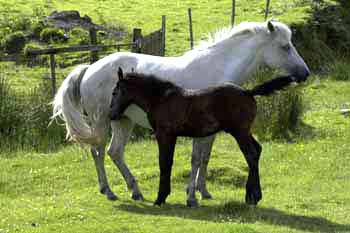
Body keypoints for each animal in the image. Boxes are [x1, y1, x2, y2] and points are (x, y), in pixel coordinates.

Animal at [52, 20, 308, 205]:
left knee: (114, 152)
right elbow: (195, 159)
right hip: (102, 122)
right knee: (98, 152)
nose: (304, 73)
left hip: (122, 121)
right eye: (285, 47)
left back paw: (135, 191)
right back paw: (109, 191)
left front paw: (203, 192)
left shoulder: (210, 132)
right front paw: (191, 196)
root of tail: (89, 68)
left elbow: (204, 159)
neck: (217, 68)